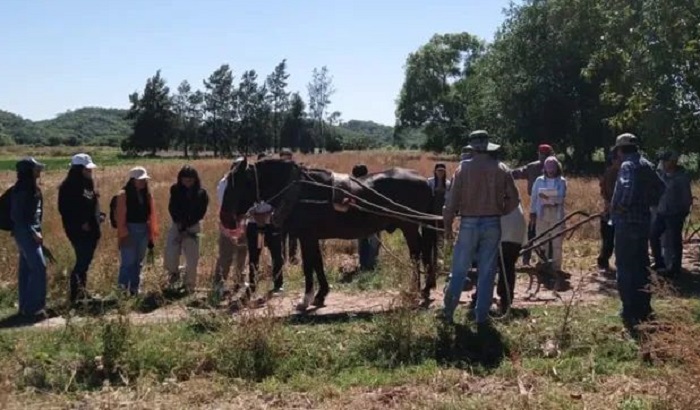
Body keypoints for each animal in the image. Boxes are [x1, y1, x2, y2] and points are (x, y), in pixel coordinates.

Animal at [220, 157, 440, 310]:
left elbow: (309, 266)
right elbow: (317, 263)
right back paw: (425, 288)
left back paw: (416, 289)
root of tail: (425, 181)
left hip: (409, 226)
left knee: (416, 254)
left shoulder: (306, 236)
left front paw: (306, 299)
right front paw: (320, 294)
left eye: (237, 183)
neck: (300, 190)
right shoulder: (312, 237)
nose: (225, 219)